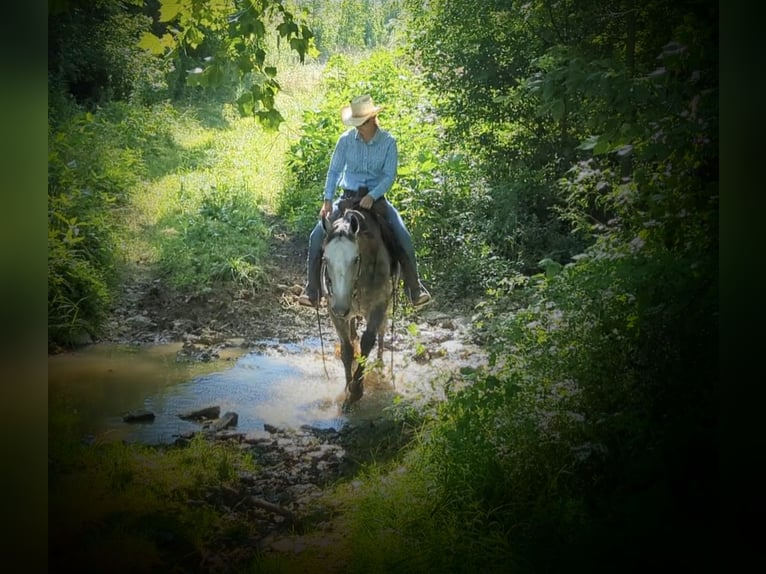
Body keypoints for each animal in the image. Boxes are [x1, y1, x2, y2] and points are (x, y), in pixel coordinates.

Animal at [320, 207, 400, 410]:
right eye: (325, 258)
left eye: (356, 259)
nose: (342, 307)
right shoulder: (334, 311)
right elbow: (347, 349)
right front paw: (347, 389)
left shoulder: (379, 306)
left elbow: (368, 342)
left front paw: (356, 391)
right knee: (353, 331)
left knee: (381, 332)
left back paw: (379, 364)